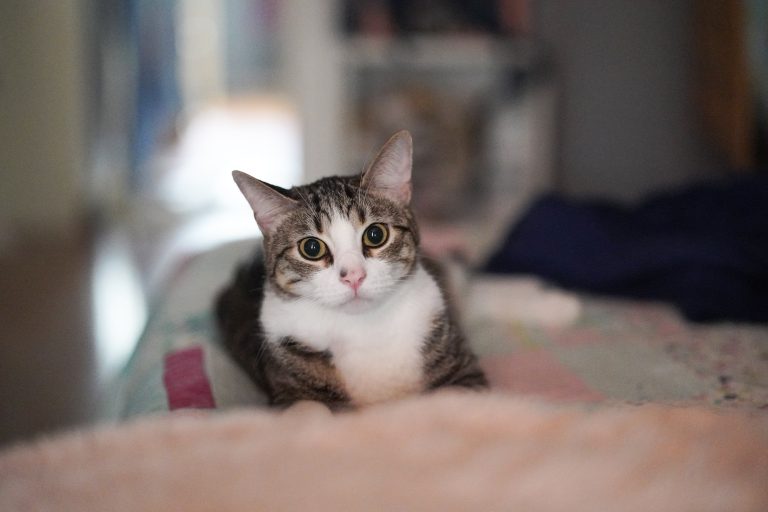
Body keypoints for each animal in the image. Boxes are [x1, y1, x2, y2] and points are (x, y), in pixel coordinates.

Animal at [214, 131, 486, 408]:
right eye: (311, 248)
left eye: (376, 235)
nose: (354, 276)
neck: (363, 329)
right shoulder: (287, 388)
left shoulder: (465, 370)